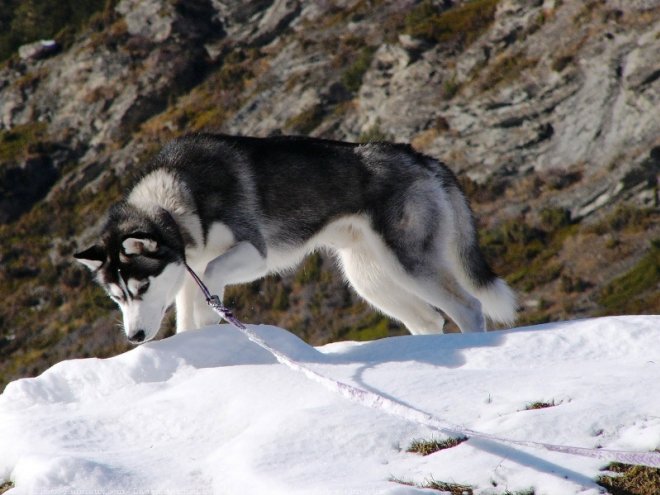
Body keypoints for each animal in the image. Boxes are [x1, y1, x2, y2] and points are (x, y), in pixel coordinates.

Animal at [73, 134, 516, 342]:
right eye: (116, 297)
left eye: (141, 288)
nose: (134, 337)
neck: (177, 198)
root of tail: (420, 157)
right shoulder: (186, 272)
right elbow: (188, 315)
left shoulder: (254, 253)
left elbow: (212, 280)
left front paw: (213, 317)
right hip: (370, 278)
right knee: (428, 319)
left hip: (409, 263)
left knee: (468, 307)